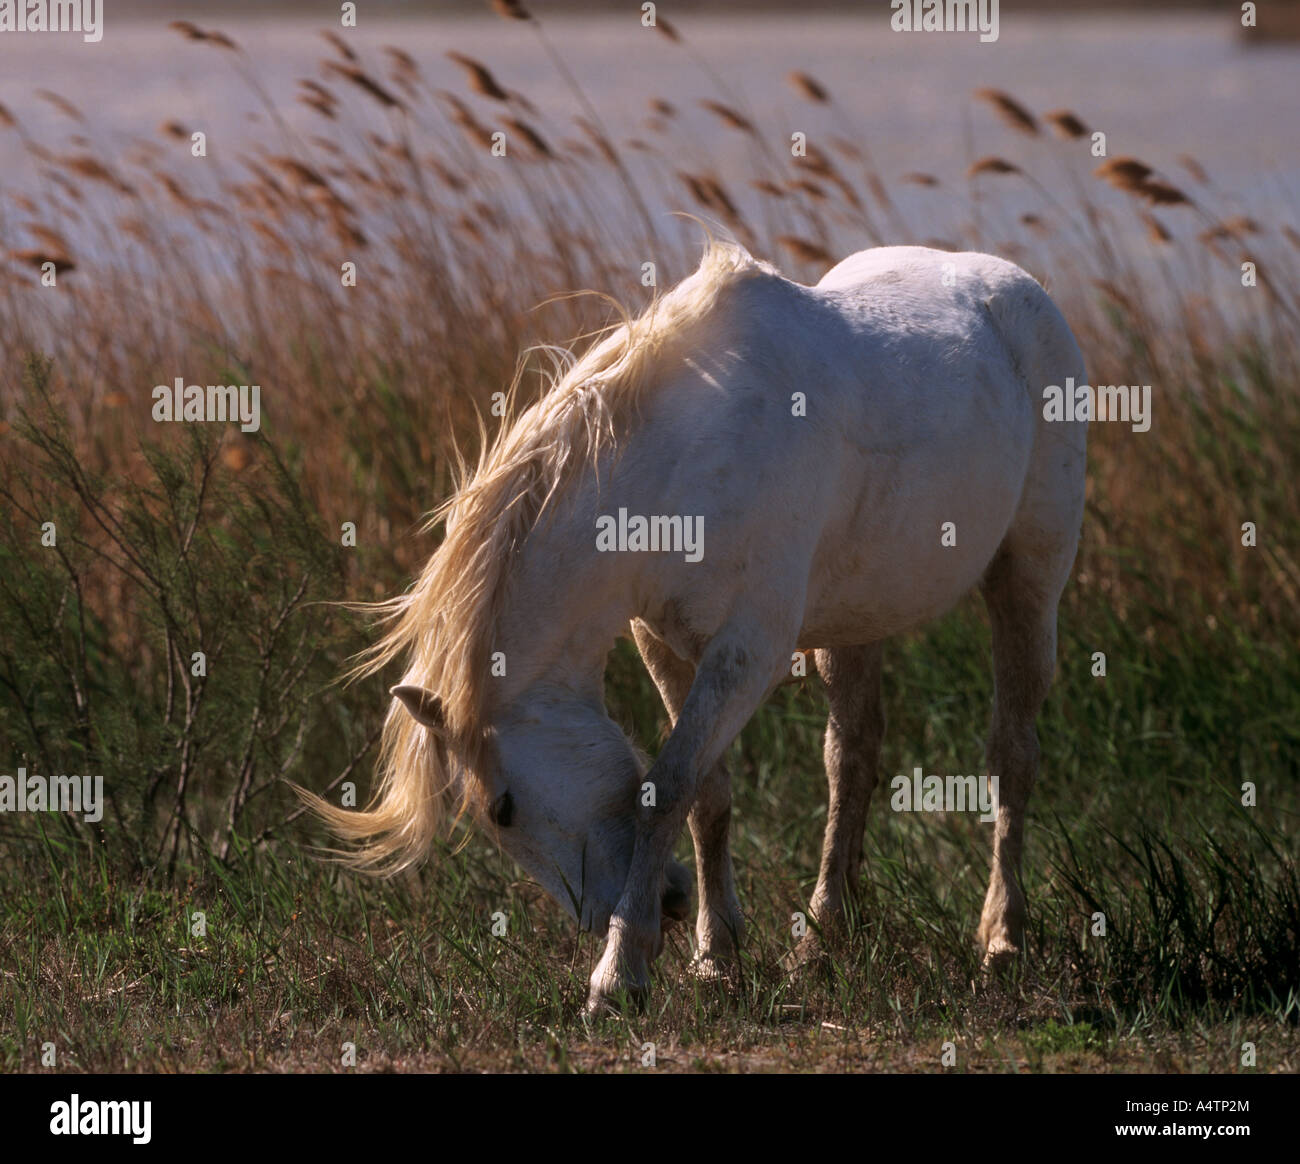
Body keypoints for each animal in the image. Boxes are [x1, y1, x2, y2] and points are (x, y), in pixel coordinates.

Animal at [301, 243, 1086, 1009]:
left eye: (502, 809)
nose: (645, 907)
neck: (683, 462)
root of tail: (1014, 286)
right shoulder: (665, 644)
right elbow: (705, 795)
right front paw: (715, 957)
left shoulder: (748, 653)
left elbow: (668, 788)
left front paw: (619, 973)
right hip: (856, 622)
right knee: (851, 758)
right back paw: (822, 943)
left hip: (1028, 579)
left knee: (1012, 754)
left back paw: (1002, 942)